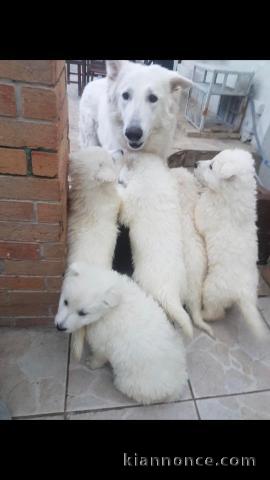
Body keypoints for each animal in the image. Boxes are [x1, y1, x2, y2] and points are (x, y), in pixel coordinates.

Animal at [54, 262, 188, 404]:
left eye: (83, 313)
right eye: (65, 302)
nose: (59, 327)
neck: (110, 309)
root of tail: (177, 388)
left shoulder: (103, 343)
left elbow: (99, 356)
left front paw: (92, 363)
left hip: (129, 382)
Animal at [194, 150, 266, 338]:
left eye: (212, 166)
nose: (195, 163)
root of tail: (244, 293)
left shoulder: (207, 213)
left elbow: (198, 211)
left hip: (212, 288)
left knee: (216, 312)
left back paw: (204, 314)